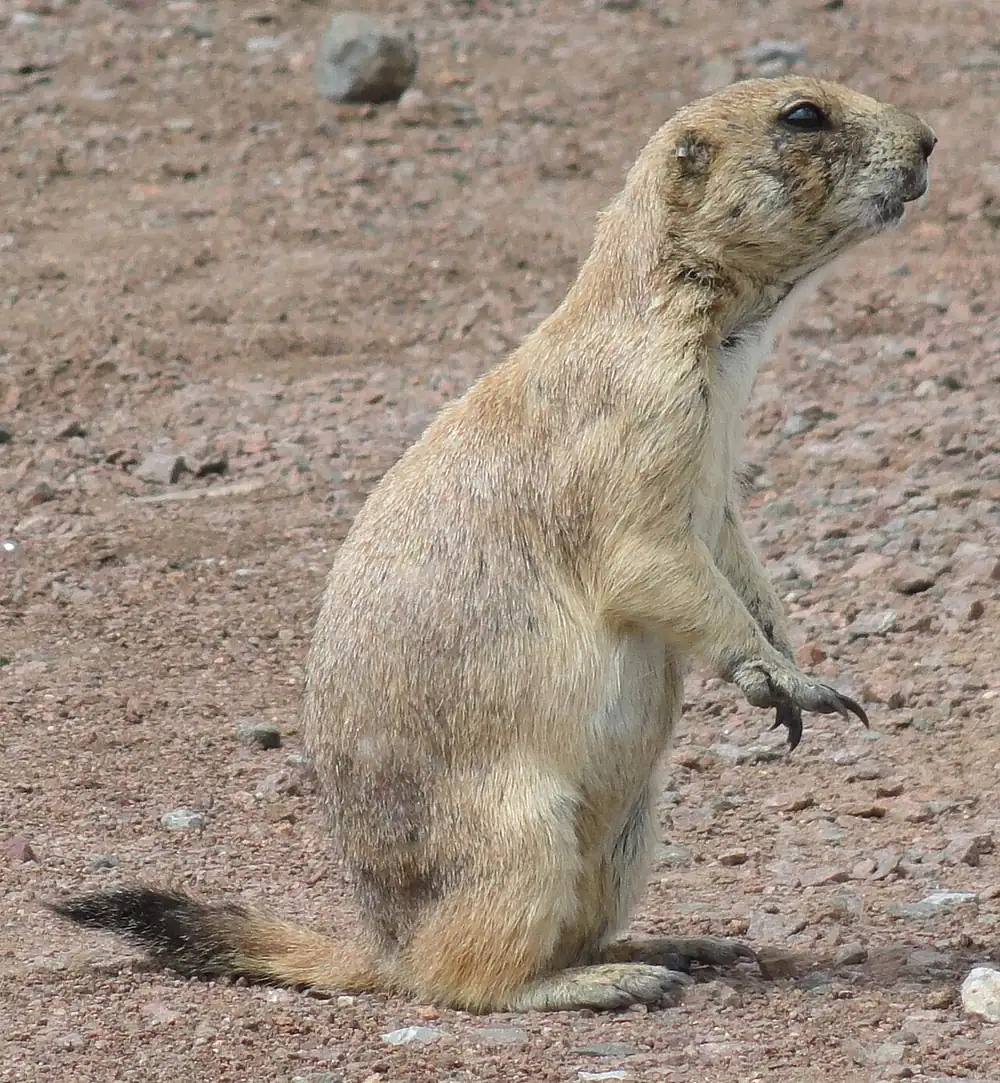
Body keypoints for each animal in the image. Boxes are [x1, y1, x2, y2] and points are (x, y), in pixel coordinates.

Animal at [51, 76, 935, 1013]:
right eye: (802, 115)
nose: (928, 139)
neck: (711, 337)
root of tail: (383, 946)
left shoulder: (718, 482)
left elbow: (739, 561)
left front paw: (790, 651)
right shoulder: (631, 434)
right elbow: (653, 561)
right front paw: (788, 677)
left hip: (633, 830)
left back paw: (676, 942)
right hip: (520, 830)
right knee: (465, 976)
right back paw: (606, 979)